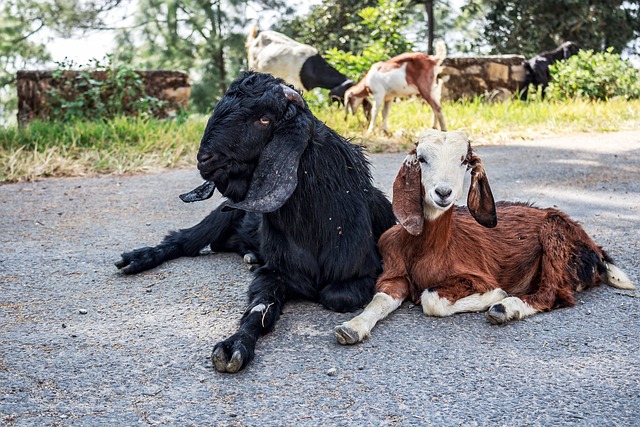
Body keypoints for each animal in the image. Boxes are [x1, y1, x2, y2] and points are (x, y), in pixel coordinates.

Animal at [115, 72, 396, 372]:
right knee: (183, 240)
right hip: (220, 215)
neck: (318, 222)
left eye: (264, 119)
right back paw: (137, 258)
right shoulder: (275, 272)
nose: (204, 159)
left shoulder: (365, 271)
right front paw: (232, 347)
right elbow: (259, 307)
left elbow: (336, 296)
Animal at [336, 130, 636, 344]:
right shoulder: (393, 273)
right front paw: (351, 328)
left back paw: (504, 308)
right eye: (421, 158)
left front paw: (494, 295)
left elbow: (431, 299)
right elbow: (379, 299)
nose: (443, 192)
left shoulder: (475, 276)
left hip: (555, 237)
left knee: (553, 293)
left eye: (463, 161)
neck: (426, 248)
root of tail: (595, 249)